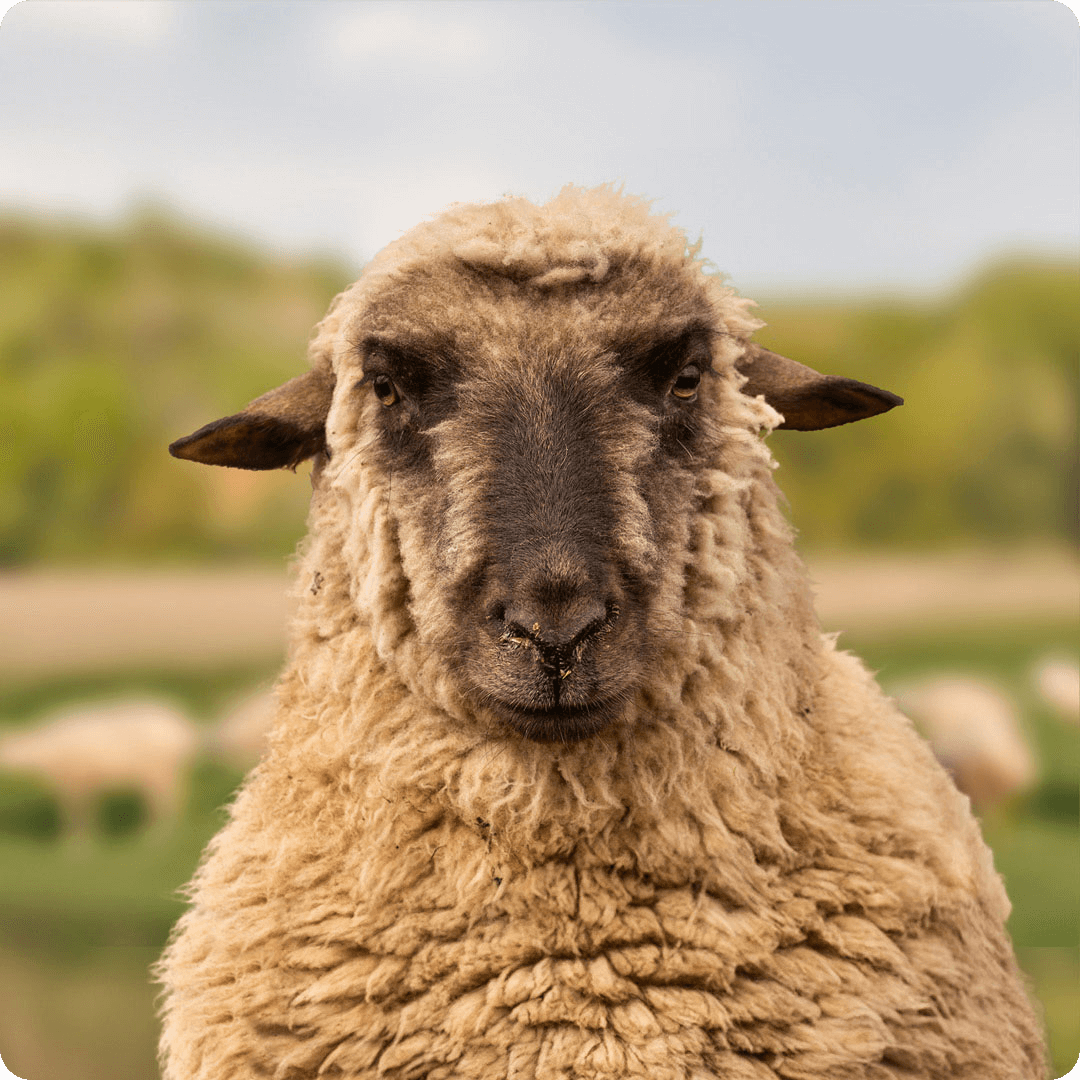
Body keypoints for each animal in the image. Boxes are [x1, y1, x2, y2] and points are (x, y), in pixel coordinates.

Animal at [0, 695, 200, 838]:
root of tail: (185, 729)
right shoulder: (79, 783)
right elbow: (81, 814)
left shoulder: (74, 782)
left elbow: (76, 815)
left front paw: (77, 847)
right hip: (169, 770)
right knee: (176, 797)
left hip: (159, 769)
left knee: (165, 801)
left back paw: (156, 836)